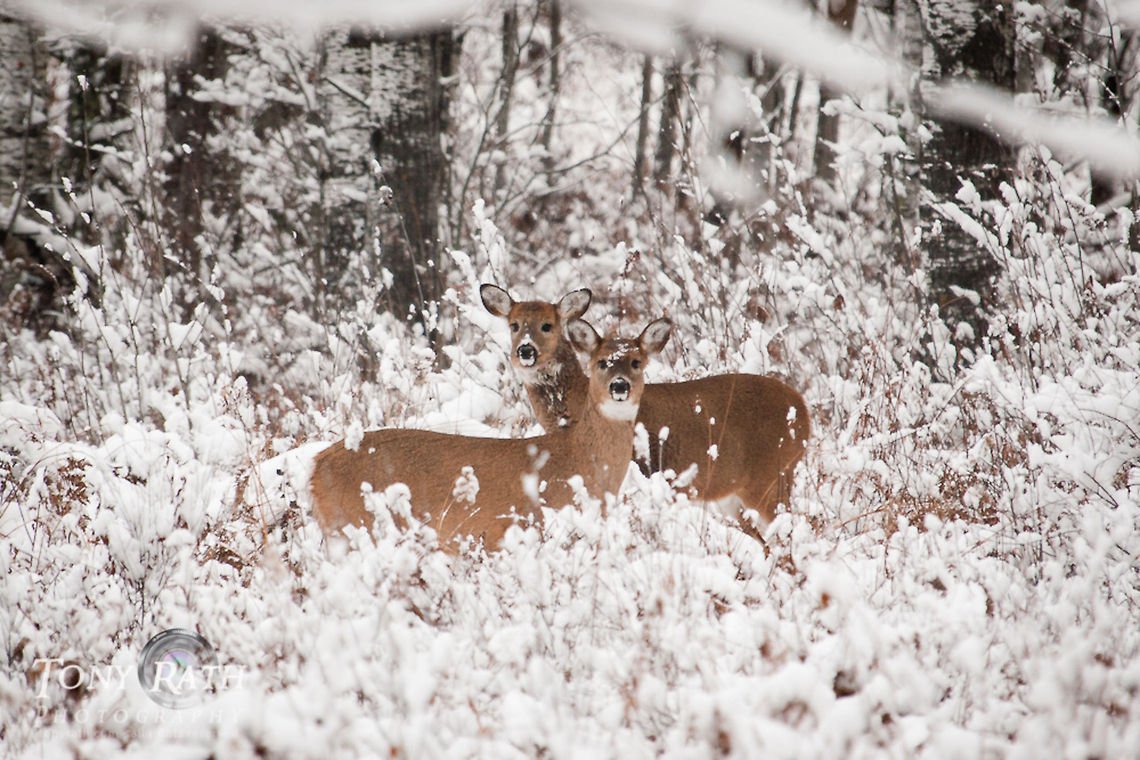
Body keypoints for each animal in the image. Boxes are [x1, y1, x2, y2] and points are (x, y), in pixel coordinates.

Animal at [309, 316, 673, 553]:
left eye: (637, 362)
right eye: (601, 362)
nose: (619, 386)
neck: (577, 459)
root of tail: (315, 467)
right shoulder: (517, 527)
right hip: (356, 525)